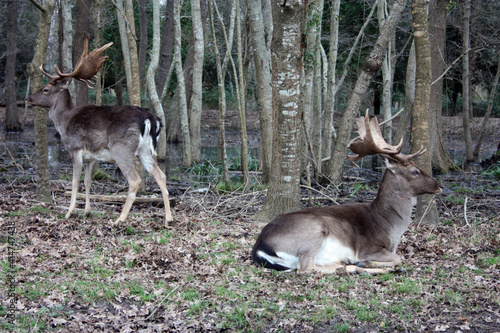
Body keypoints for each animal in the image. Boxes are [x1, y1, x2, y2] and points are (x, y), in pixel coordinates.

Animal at [26, 37, 174, 224]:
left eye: (45, 89)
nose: (28, 99)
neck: (64, 120)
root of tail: (151, 120)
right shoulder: (91, 157)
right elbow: (87, 181)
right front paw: (87, 212)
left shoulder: (75, 149)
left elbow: (75, 181)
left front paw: (69, 212)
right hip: (145, 151)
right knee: (161, 176)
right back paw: (168, 218)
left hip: (122, 149)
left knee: (135, 180)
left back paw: (120, 219)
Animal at [254, 113, 442, 274]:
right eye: (415, 171)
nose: (438, 184)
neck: (388, 227)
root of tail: (259, 247)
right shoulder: (369, 247)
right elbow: (398, 258)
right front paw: (371, 262)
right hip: (313, 231)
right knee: (306, 267)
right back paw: (360, 266)